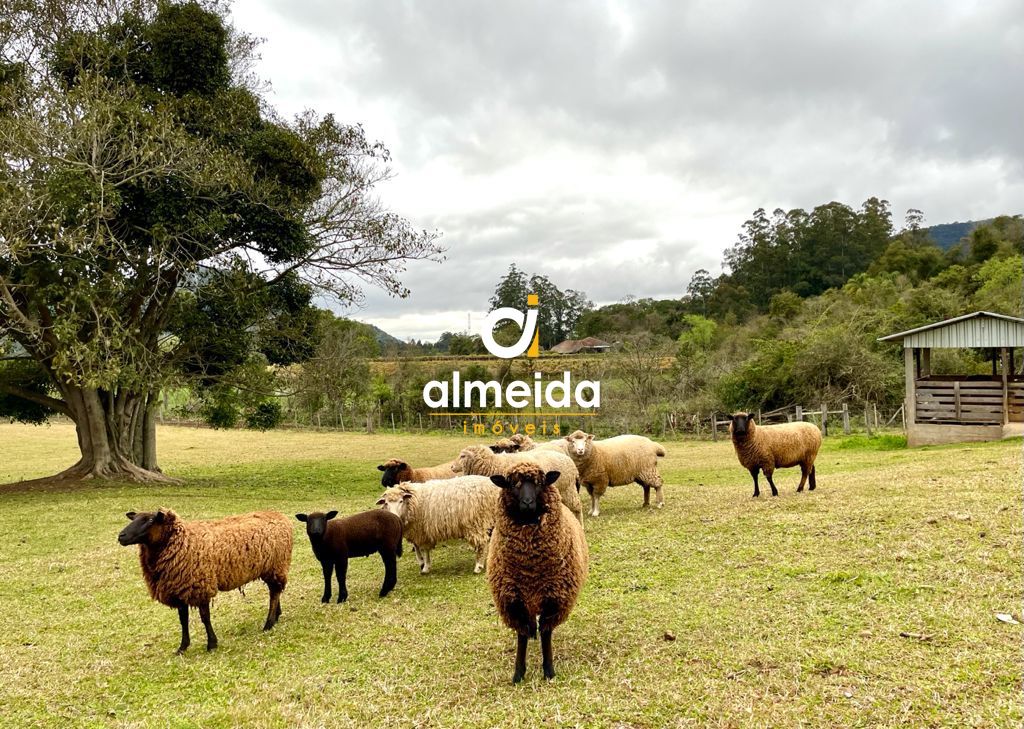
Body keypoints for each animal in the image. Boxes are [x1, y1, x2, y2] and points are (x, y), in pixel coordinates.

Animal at [117, 507, 292, 655]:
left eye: (150, 520)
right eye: (134, 519)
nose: (121, 536)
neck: (183, 541)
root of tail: (281, 515)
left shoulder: (200, 586)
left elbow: (205, 618)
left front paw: (212, 644)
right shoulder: (179, 589)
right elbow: (183, 620)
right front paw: (182, 647)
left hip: (277, 564)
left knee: (274, 592)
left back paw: (268, 624)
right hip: (270, 568)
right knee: (275, 592)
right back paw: (276, 615)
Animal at [450, 444, 585, 524]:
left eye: (462, 456)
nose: (451, 467)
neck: (492, 464)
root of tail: (571, 462)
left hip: (568, 489)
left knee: (577, 506)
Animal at [489, 460, 589, 683]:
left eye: (539, 483)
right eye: (513, 483)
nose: (527, 502)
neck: (531, 571)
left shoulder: (554, 598)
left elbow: (546, 634)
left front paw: (549, 670)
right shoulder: (513, 600)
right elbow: (521, 635)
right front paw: (518, 673)